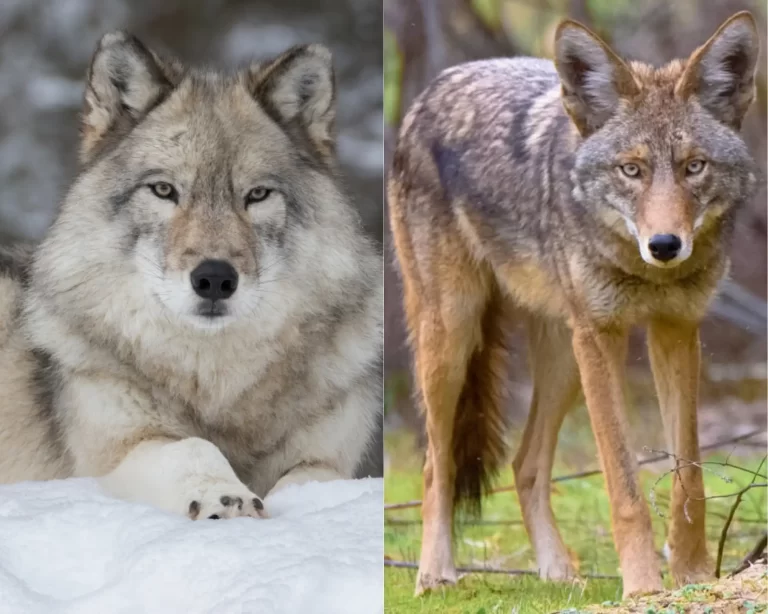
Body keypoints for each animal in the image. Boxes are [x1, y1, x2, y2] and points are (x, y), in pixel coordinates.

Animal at [0, 31, 382, 521]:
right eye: (165, 190)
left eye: (257, 195)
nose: (215, 279)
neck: (216, 381)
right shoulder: (117, 449)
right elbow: (193, 447)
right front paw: (227, 496)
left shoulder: (328, 457)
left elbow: (315, 478)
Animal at [388, 12, 759, 598]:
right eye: (631, 170)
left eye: (694, 167)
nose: (665, 245)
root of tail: (436, 86)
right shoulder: (602, 337)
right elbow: (625, 486)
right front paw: (643, 588)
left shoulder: (676, 330)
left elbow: (689, 479)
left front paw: (694, 576)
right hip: (454, 339)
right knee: (434, 464)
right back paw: (434, 573)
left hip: (562, 359)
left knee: (524, 465)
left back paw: (559, 572)